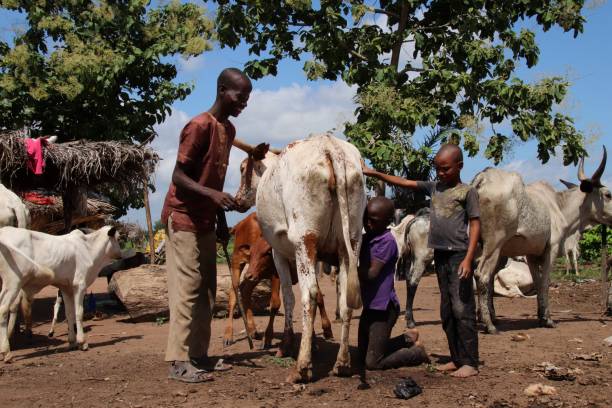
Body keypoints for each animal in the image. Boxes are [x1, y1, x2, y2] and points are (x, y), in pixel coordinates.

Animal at [0, 223, 122, 360]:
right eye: (118, 238)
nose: (121, 255)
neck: (89, 248)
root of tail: (3, 232)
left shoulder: (66, 288)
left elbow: (69, 314)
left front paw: (72, 342)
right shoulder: (79, 285)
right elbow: (79, 313)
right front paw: (82, 342)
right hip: (13, 282)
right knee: (3, 309)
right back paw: (6, 352)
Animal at [233, 133, 364, 382]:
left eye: (243, 168)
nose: (236, 200)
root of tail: (330, 147)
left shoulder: (279, 254)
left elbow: (288, 297)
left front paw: (287, 344)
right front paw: (312, 342)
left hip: (305, 240)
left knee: (308, 295)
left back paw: (302, 367)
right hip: (350, 243)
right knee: (345, 301)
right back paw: (342, 363)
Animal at [470, 148, 608, 334]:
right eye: (608, 195)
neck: (558, 205)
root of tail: (482, 179)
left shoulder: (531, 253)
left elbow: (537, 280)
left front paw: (540, 315)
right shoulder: (552, 248)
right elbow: (545, 282)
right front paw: (547, 319)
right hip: (494, 244)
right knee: (482, 275)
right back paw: (489, 324)